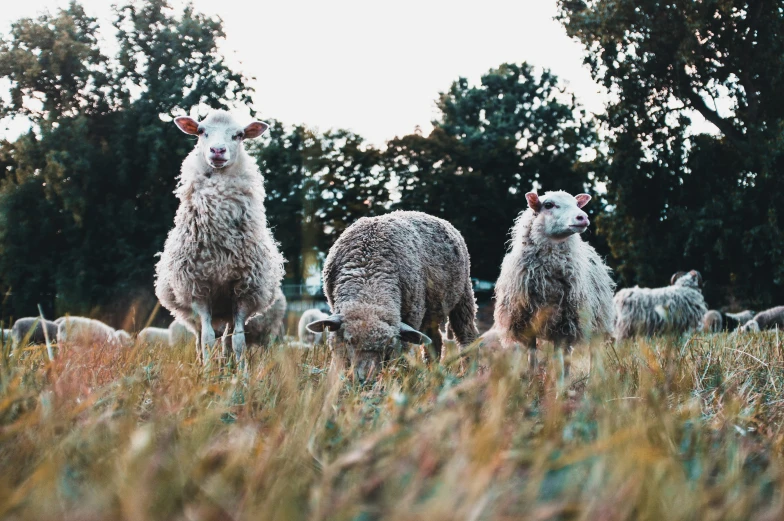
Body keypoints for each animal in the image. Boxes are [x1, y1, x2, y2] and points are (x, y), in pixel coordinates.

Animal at [153, 109, 284, 364]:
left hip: (227, 307)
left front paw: (241, 371)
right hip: (194, 310)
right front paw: (206, 370)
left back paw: (227, 363)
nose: (217, 150)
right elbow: (206, 339)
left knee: (226, 338)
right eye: (201, 131)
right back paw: (203, 362)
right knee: (199, 337)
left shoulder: (243, 290)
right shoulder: (199, 289)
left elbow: (239, 341)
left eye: (239, 135)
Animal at [306, 209, 478, 380]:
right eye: (350, 342)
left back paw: (468, 371)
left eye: (388, 346)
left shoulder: (411, 316)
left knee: (466, 335)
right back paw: (432, 371)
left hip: (463, 295)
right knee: (434, 340)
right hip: (433, 311)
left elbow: (401, 353)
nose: (365, 379)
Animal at [494, 191, 616, 386]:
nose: (583, 217)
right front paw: (533, 383)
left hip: (595, 321)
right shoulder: (527, 324)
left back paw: (589, 382)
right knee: (568, 354)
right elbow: (532, 357)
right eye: (549, 205)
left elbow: (558, 359)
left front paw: (558, 388)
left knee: (591, 352)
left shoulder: (563, 325)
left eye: (576, 204)